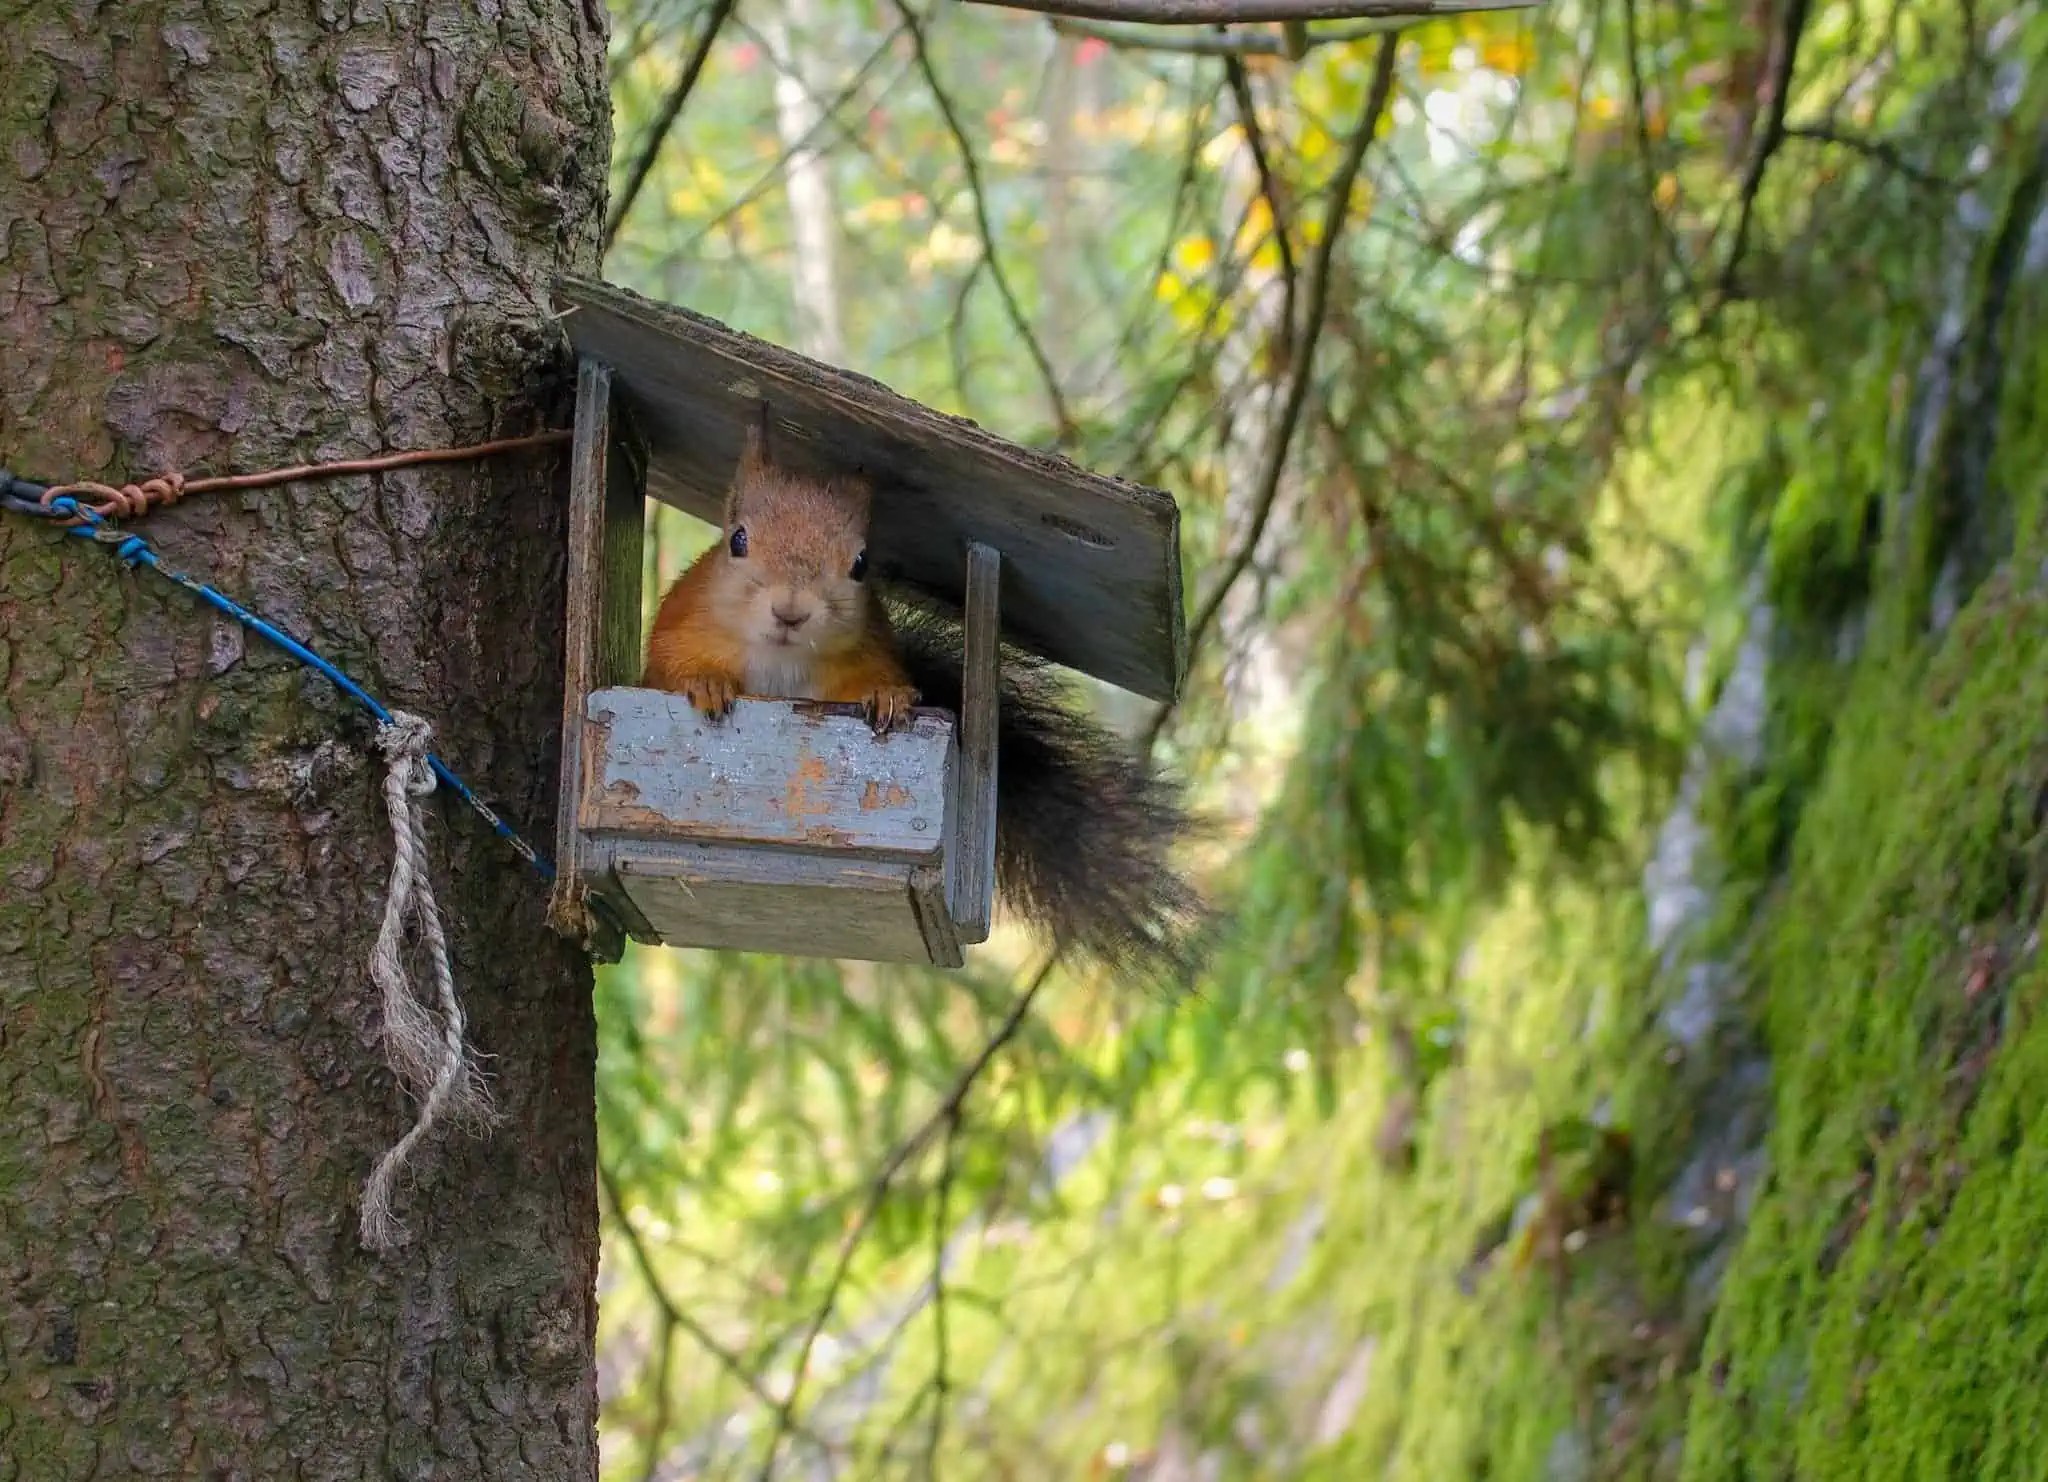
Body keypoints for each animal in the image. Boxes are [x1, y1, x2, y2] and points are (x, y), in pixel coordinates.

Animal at [641, 405, 1209, 985]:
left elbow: (873, 683)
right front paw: (706, 683)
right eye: (737, 540)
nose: (790, 611)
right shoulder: (678, 631)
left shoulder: (862, 656)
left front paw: (887, 698)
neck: (780, 661)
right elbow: (669, 669)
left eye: (860, 563)